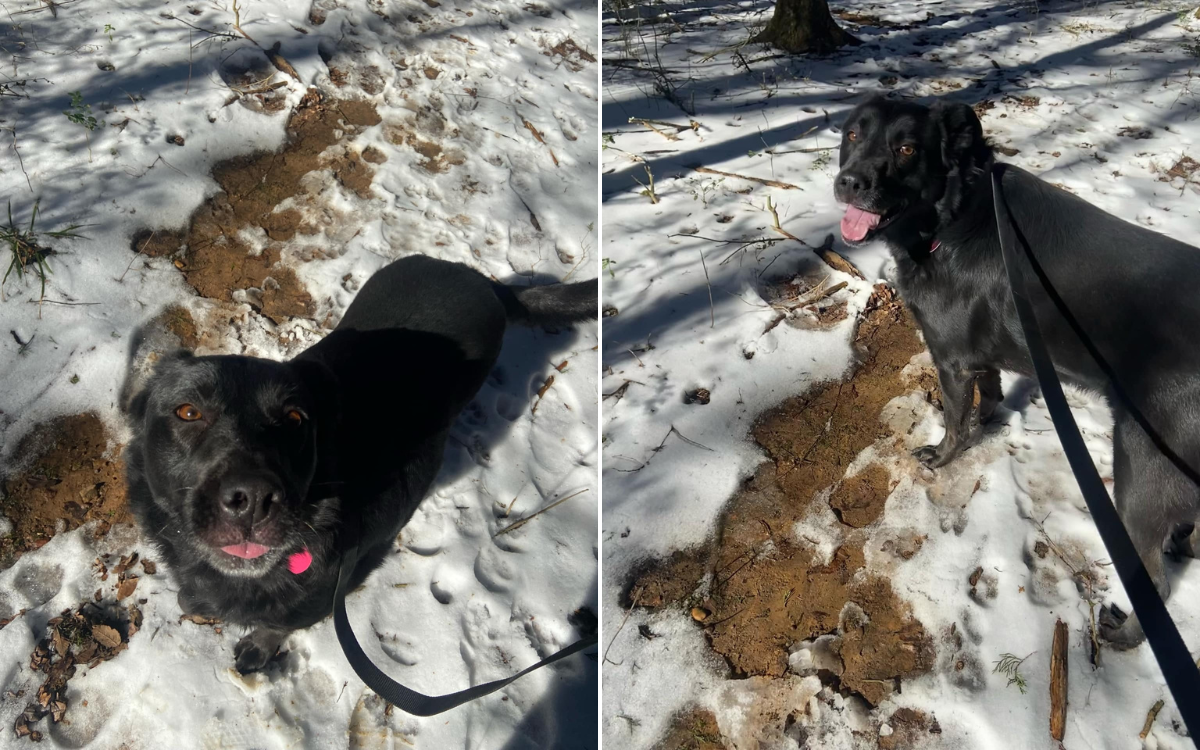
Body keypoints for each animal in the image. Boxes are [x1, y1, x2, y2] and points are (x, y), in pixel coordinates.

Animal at [119, 254, 597, 672]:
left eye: (295, 419)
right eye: (187, 412)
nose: (253, 500)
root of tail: (481, 279)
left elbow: (278, 624)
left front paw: (260, 644)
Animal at [840, 96, 1200, 648]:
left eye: (907, 149)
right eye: (853, 134)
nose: (849, 182)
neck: (951, 219)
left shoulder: (950, 359)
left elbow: (953, 421)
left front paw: (941, 456)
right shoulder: (979, 355)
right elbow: (989, 393)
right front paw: (988, 422)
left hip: (1142, 474)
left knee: (1154, 581)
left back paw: (1122, 636)